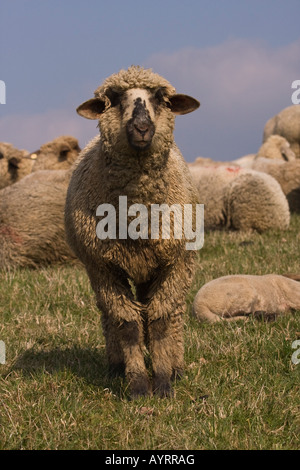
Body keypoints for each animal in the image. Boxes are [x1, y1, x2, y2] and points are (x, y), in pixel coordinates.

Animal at [65, 65, 202, 396]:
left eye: (161, 98)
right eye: (113, 99)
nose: (141, 127)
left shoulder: (173, 262)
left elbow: (162, 320)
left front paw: (163, 383)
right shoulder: (103, 266)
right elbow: (127, 324)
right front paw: (138, 384)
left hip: (174, 263)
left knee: (172, 312)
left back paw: (176, 366)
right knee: (110, 315)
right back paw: (117, 367)